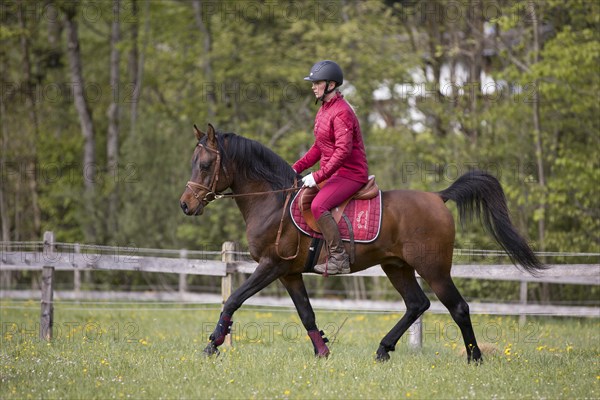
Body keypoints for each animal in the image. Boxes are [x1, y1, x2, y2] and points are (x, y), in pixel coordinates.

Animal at [178, 122, 544, 362]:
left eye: (206, 165)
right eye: (192, 163)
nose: (185, 205)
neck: (272, 200)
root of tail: (438, 198)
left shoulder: (272, 266)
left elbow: (233, 300)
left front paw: (212, 344)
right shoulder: (289, 273)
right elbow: (306, 314)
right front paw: (323, 352)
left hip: (434, 268)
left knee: (458, 307)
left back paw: (474, 357)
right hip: (397, 267)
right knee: (417, 304)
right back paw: (384, 349)